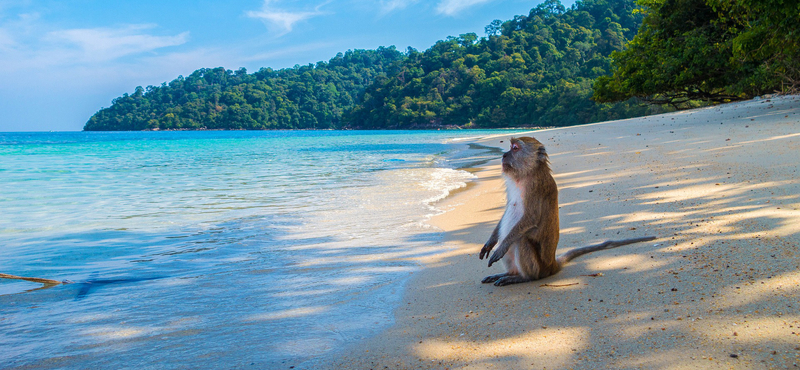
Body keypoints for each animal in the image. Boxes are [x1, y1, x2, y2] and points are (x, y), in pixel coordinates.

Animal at [478, 137, 652, 286]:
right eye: (510, 147)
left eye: (515, 148)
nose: (504, 155)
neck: (527, 173)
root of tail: (551, 265)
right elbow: (507, 211)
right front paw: (490, 242)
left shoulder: (535, 187)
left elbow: (530, 218)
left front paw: (501, 247)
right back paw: (509, 274)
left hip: (539, 267)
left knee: (521, 240)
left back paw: (522, 277)